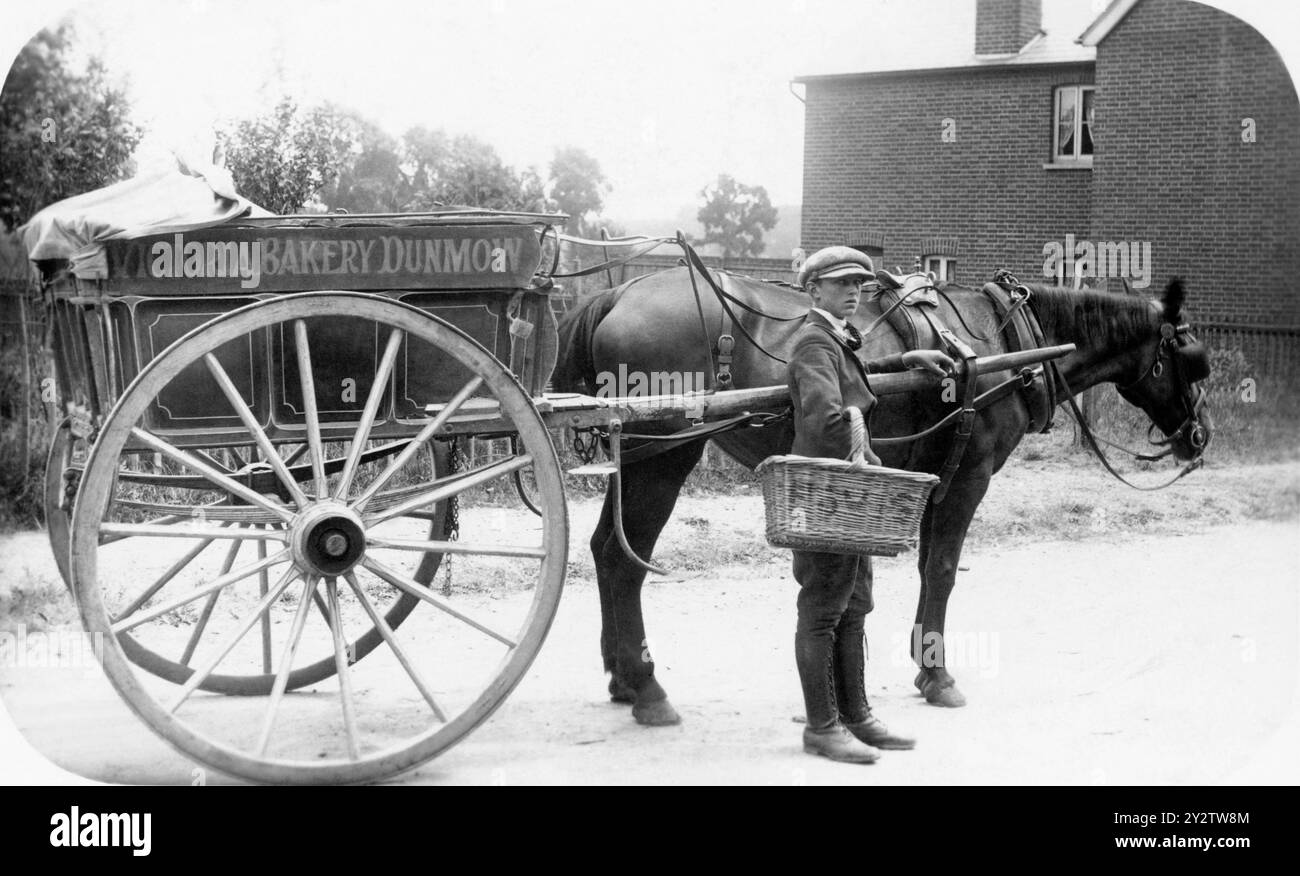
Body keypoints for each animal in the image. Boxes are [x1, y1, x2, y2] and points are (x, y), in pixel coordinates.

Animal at [553, 266, 1211, 722]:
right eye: (1192, 358)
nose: (1200, 436)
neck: (1005, 345)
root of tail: (621, 293)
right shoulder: (969, 477)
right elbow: (942, 569)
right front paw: (938, 675)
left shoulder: (936, 476)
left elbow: (925, 567)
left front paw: (923, 664)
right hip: (665, 457)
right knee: (624, 560)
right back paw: (646, 688)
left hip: (641, 459)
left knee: (606, 551)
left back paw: (622, 676)